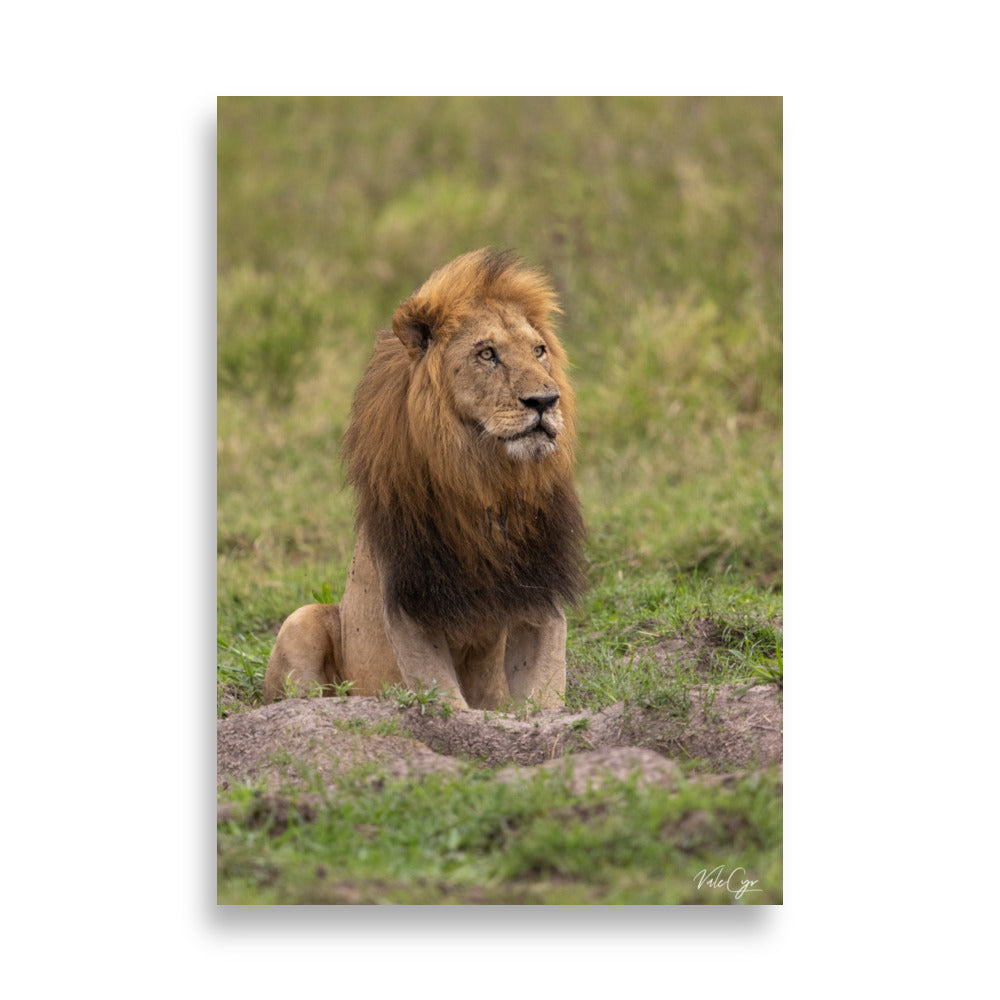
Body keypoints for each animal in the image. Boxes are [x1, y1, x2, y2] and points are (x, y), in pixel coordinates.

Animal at [264, 254, 584, 716]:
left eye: (538, 351)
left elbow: (543, 695)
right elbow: (446, 700)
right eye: (487, 354)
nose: (545, 401)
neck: (488, 485)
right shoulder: (410, 605)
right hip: (302, 619)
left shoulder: (540, 597)